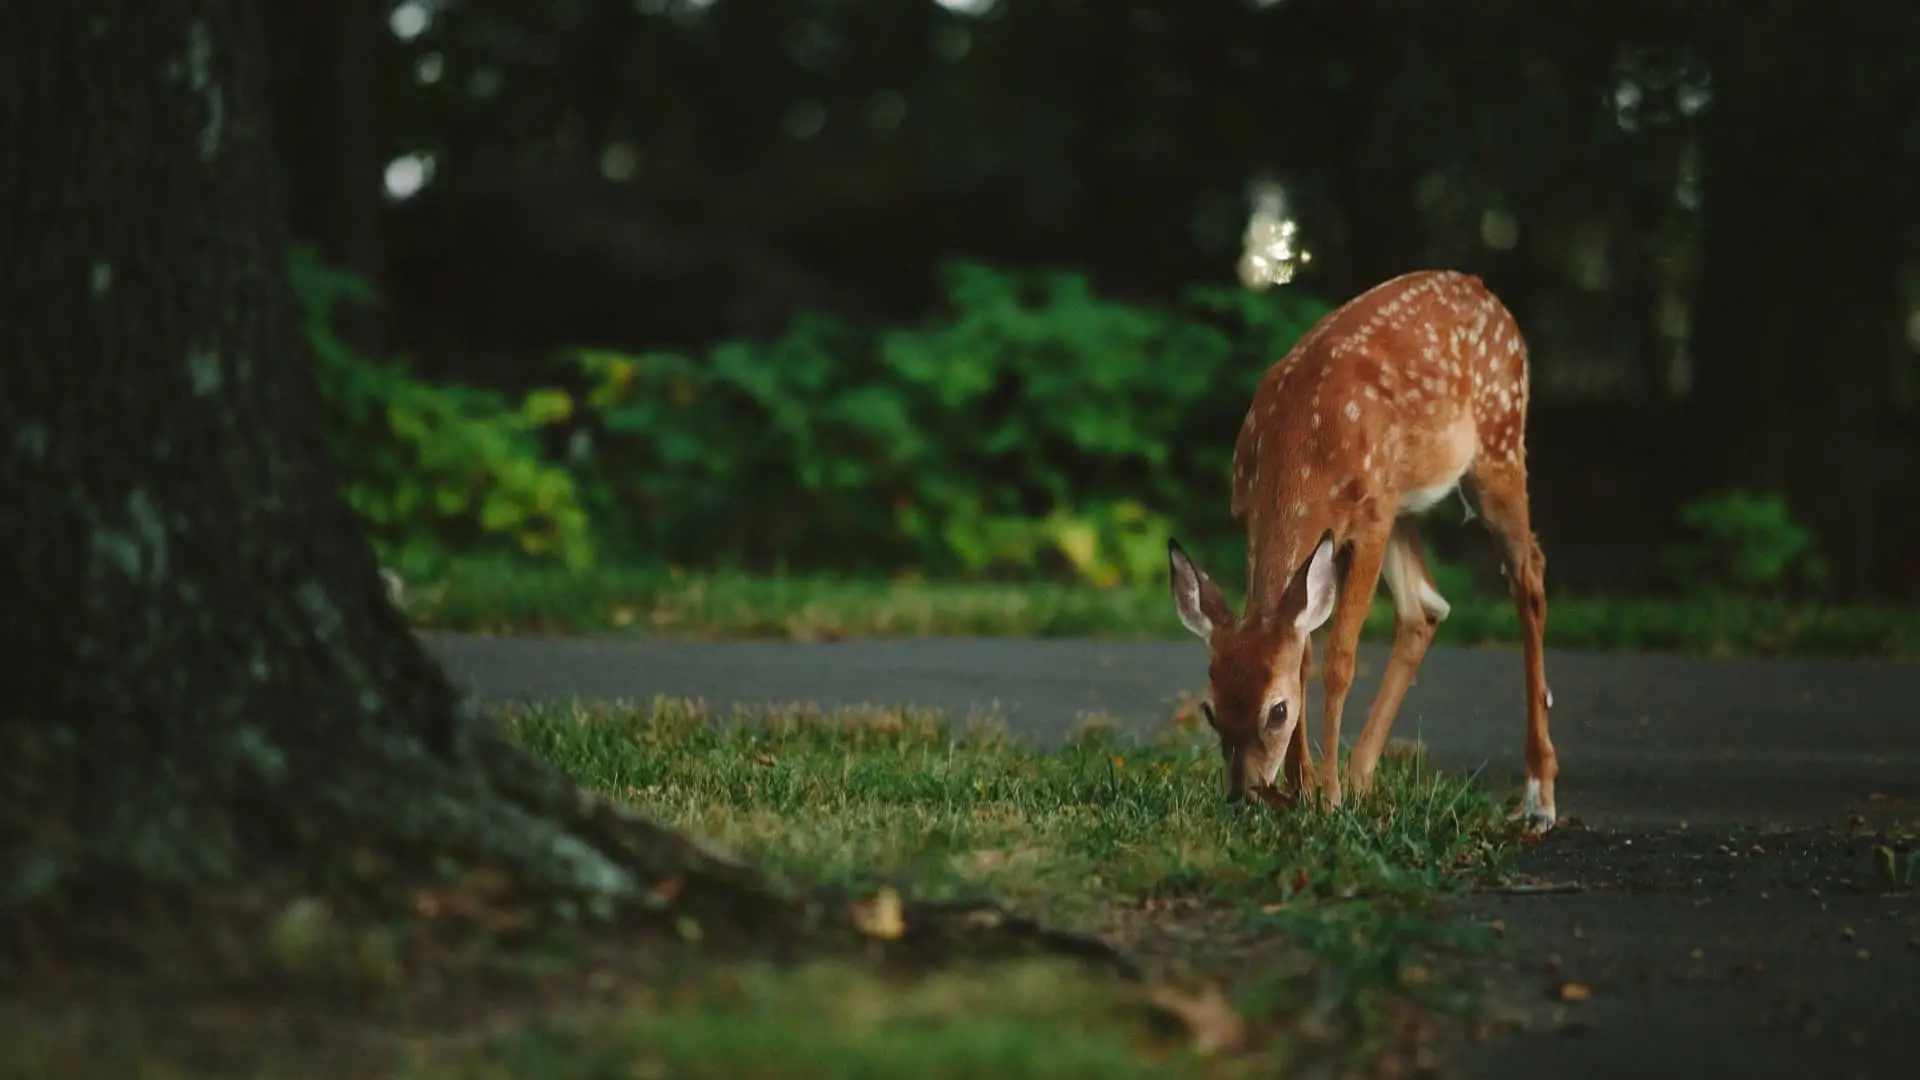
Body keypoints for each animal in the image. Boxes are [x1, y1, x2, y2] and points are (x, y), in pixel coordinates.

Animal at [1166, 269, 1559, 833]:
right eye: (1211, 710)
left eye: (1276, 711)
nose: (1243, 795)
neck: (1301, 448)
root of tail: (1485, 292)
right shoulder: (1257, 516)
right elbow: (1303, 649)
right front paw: (1303, 789)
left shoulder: (1369, 519)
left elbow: (1338, 658)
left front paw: (1324, 797)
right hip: (1405, 502)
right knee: (1425, 607)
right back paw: (1360, 778)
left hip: (1498, 445)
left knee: (1529, 574)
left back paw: (1539, 797)